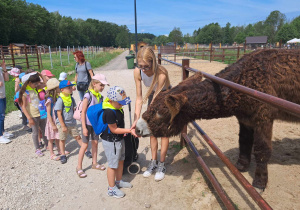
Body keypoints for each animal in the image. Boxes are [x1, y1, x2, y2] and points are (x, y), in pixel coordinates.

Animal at [135, 48, 300, 189]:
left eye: (160, 113)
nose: (136, 128)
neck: (244, 81)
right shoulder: (245, 118)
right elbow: (244, 141)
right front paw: (240, 167)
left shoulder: (263, 117)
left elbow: (262, 150)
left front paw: (259, 183)